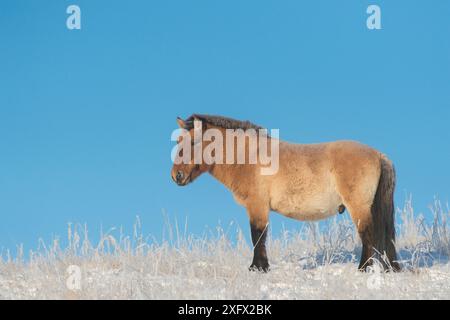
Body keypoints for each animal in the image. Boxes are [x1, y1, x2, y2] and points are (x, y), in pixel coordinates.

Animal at [171, 114, 400, 272]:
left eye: (193, 142)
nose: (176, 175)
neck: (248, 156)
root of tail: (379, 155)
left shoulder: (257, 206)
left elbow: (258, 236)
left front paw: (258, 268)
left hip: (359, 206)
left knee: (368, 234)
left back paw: (363, 268)